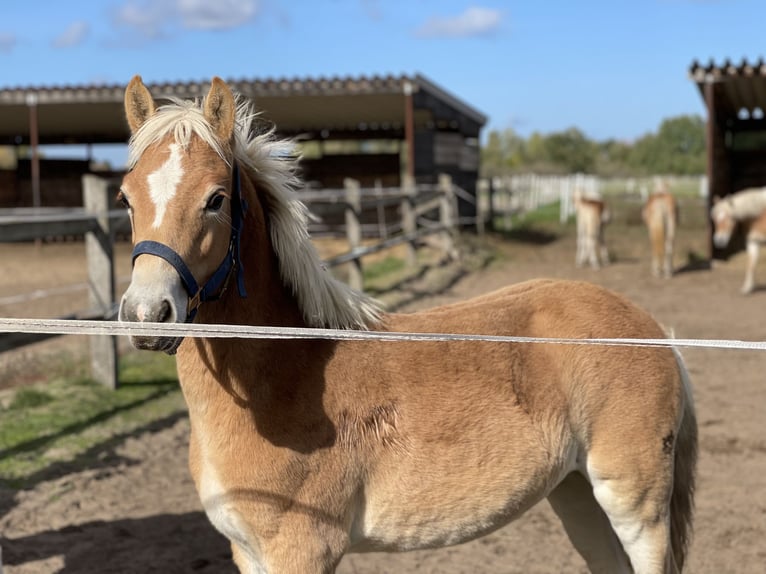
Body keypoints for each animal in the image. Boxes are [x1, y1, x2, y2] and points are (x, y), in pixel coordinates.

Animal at [117, 76, 700, 574]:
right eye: (126, 198)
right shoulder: (248, 552)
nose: (148, 314)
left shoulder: (302, 550)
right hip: (576, 494)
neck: (284, 374)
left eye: (216, 199)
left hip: (633, 503)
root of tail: (649, 328)